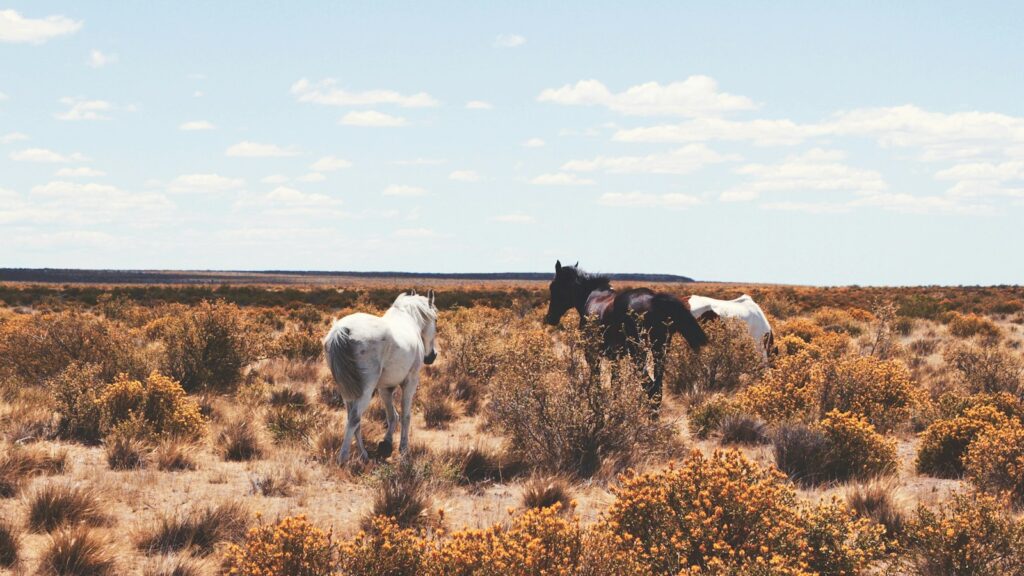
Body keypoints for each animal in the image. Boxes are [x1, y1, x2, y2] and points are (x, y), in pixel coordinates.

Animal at [323, 290, 438, 463]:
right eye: (436, 320)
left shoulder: (385, 388)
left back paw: (363, 455)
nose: (432, 357)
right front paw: (403, 448)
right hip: (365, 391)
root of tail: (341, 330)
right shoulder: (410, 382)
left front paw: (386, 444)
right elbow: (405, 415)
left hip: (347, 391)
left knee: (353, 419)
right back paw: (343, 458)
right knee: (354, 419)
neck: (409, 321)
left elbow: (392, 416)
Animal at [543, 260, 708, 405]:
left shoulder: (592, 354)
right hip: (660, 351)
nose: (550, 318)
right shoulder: (615, 357)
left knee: (650, 388)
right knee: (657, 390)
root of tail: (654, 299)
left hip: (638, 354)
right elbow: (615, 383)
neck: (590, 296)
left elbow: (597, 381)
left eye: (553, 286)